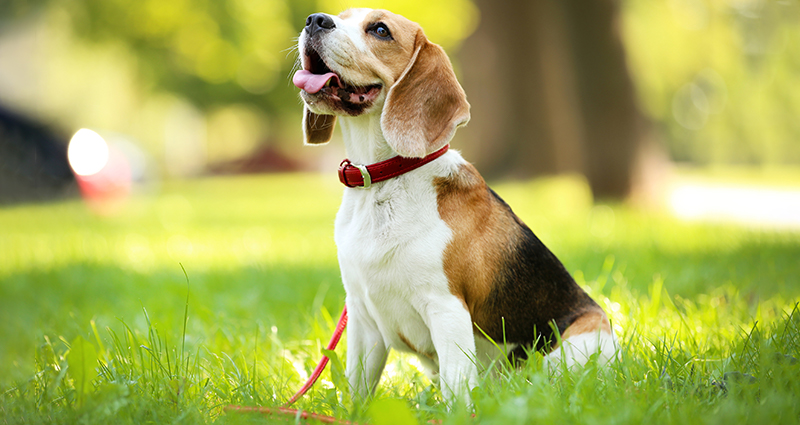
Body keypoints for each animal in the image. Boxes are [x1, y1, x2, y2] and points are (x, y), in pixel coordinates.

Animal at [294, 6, 620, 404]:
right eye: (342, 15)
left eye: (381, 30)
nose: (315, 20)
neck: (383, 180)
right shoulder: (361, 318)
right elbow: (358, 389)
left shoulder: (446, 308)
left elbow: (456, 389)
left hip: (567, 352)